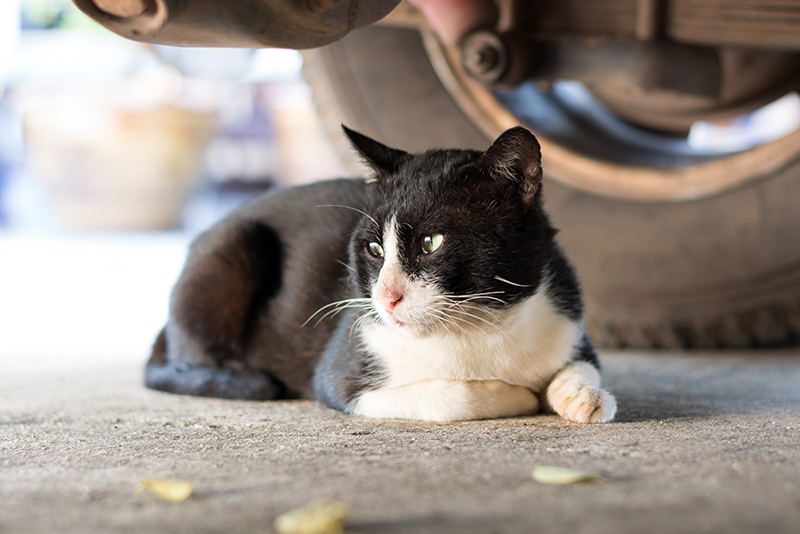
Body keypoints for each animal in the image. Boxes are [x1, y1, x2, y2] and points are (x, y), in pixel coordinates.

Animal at [145, 126, 620, 428]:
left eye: (431, 242)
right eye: (374, 249)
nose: (387, 297)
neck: (483, 329)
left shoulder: (568, 317)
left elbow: (583, 366)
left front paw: (583, 398)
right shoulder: (342, 379)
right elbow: (450, 396)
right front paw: (515, 395)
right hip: (234, 244)